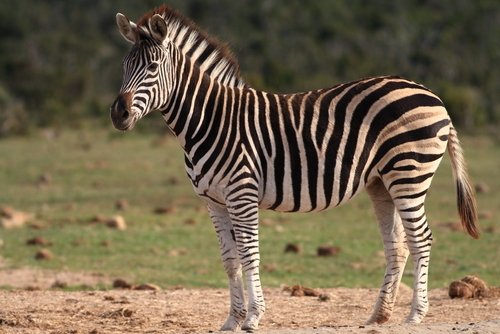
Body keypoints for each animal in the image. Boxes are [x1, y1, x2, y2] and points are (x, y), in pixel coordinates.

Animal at [110, 5, 480, 332]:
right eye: (125, 66)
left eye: (153, 66)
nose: (118, 114)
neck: (210, 121)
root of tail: (432, 95)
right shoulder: (213, 201)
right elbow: (229, 260)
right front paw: (231, 320)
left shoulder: (242, 193)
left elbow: (249, 254)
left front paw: (253, 318)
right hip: (381, 182)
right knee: (397, 246)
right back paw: (378, 316)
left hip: (409, 174)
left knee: (421, 239)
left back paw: (415, 315)